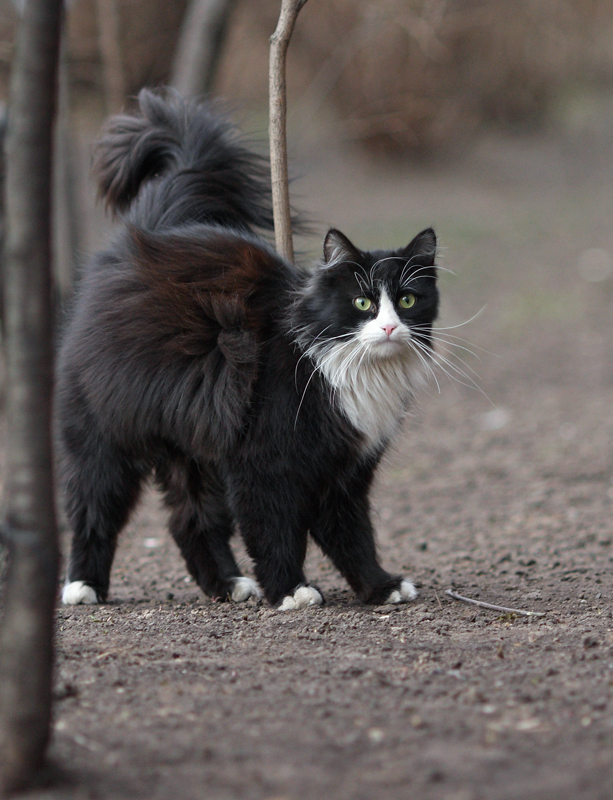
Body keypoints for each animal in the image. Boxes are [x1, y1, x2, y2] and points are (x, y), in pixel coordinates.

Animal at [57, 90, 438, 608]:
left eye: (407, 300)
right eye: (362, 302)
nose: (389, 328)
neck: (337, 366)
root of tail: (144, 235)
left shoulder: (344, 471)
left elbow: (352, 534)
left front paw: (379, 586)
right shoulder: (263, 460)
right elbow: (274, 530)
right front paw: (291, 591)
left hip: (195, 450)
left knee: (190, 519)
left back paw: (229, 584)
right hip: (107, 437)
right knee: (93, 510)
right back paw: (83, 586)